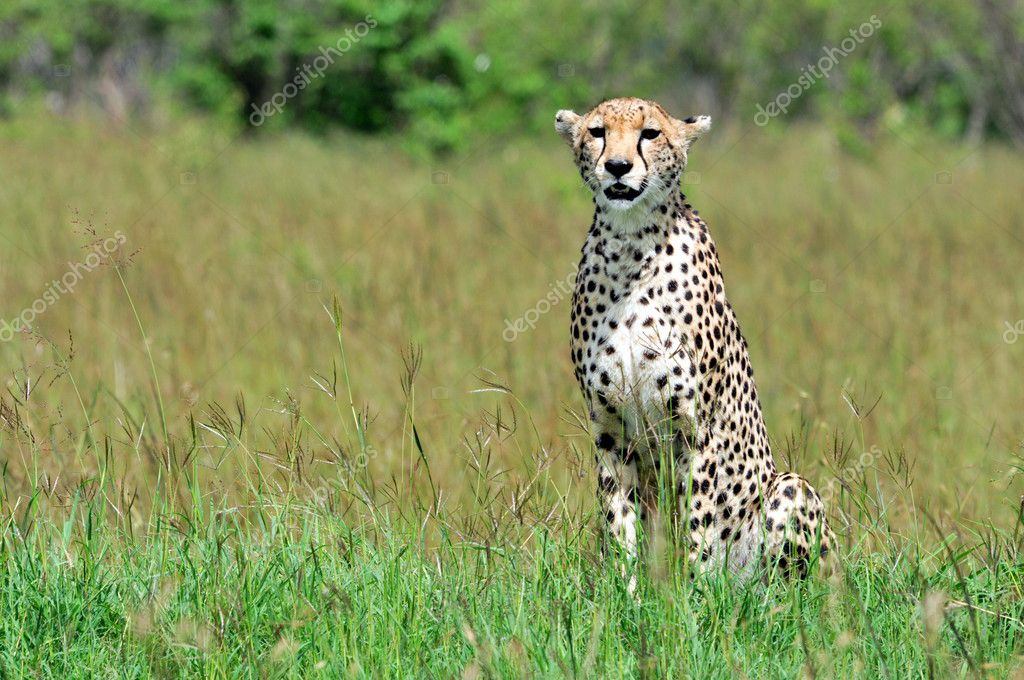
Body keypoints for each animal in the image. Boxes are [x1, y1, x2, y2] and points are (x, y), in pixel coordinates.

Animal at [555, 97, 834, 586]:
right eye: (597, 131)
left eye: (649, 133)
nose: (618, 166)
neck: (630, 245)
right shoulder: (608, 429)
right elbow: (618, 522)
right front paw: (625, 592)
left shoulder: (694, 429)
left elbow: (698, 521)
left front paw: (694, 596)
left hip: (790, 488)